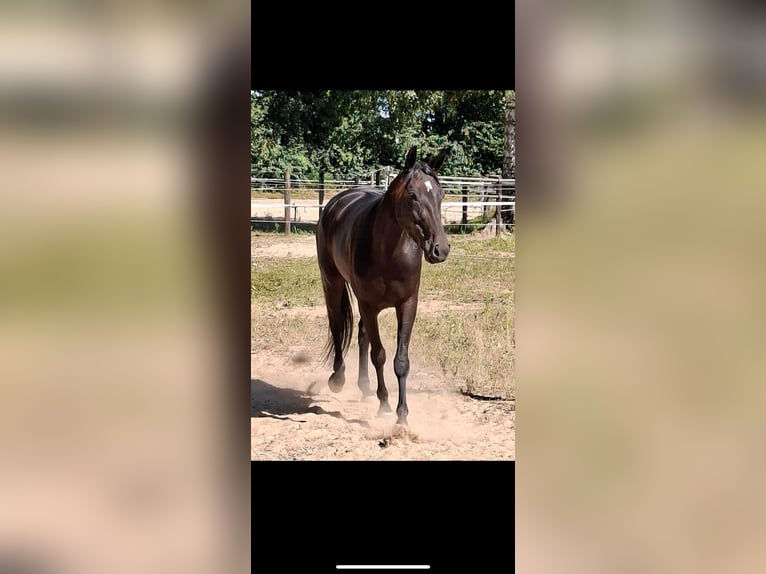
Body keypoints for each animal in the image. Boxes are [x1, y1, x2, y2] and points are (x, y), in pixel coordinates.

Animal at [315, 146, 450, 425]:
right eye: (413, 195)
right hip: (332, 283)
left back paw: (365, 387)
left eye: (441, 194)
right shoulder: (368, 305)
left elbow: (401, 361)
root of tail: (337, 202)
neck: (389, 253)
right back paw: (338, 378)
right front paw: (386, 404)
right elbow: (379, 355)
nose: (440, 249)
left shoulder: (407, 304)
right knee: (337, 325)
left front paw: (402, 414)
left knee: (361, 334)